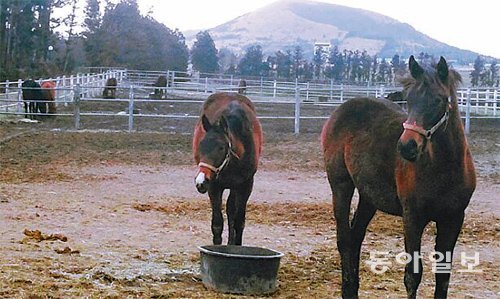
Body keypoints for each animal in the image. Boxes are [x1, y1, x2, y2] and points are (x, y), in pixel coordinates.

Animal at [191, 92, 264, 246]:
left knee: (231, 210)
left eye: (221, 147)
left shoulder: (246, 186)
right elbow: (217, 224)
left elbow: (239, 222)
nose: (201, 181)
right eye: (201, 145)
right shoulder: (214, 186)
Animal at [322, 56, 474, 299]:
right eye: (409, 100)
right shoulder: (413, 217)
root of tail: (342, 109)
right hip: (340, 185)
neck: (445, 168)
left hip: (369, 196)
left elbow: (443, 276)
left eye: (439, 100)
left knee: (356, 237)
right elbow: (412, 276)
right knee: (344, 239)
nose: (406, 146)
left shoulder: (454, 218)